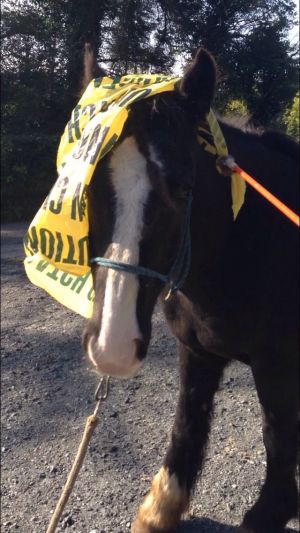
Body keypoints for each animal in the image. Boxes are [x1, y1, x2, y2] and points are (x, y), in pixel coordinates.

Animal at [82, 47, 300, 528]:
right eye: (88, 190)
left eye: (183, 190)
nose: (112, 347)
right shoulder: (196, 350)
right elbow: (188, 422)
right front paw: (161, 507)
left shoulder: (277, 364)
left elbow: (277, 434)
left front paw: (274, 509)